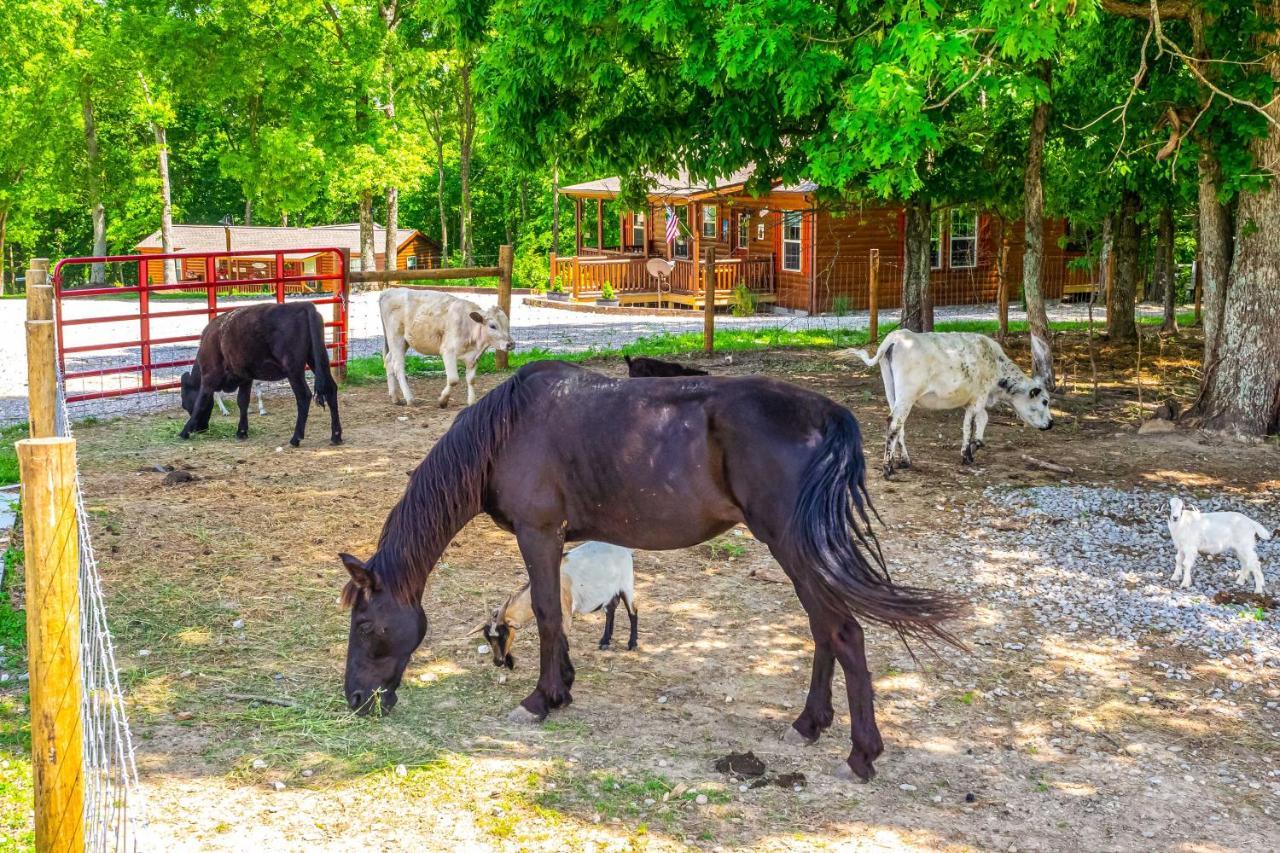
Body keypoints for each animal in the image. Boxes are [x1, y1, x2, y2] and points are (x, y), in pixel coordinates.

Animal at [180, 300, 343, 445]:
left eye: (184, 403)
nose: (202, 429)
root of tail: (304, 305)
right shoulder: (245, 377)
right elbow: (242, 401)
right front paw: (242, 431)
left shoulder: (209, 376)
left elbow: (200, 402)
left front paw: (184, 431)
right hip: (318, 359)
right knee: (331, 389)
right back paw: (336, 436)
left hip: (293, 369)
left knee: (303, 396)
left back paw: (295, 438)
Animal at [378, 286, 514, 407]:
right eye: (492, 326)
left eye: (507, 324)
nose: (511, 344)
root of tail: (388, 291)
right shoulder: (448, 351)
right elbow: (453, 379)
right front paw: (443, 400)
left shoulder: (474, 357)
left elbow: (471, 380)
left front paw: (471, 401)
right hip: (396, 338)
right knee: (398, 366)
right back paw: (409, 399)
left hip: (404, 342)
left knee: (389, 360)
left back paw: (395, 397)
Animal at [476, 540, 634, 666]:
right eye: (487, 637)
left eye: (504, 635)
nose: (498, 662)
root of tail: (625, 550)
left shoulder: (565, 612)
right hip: (609, 591)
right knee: (611, 608)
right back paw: (605, 641)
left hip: (626, 584)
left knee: (632, 611)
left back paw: (632, 644)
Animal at [839, 327, 1049, 473]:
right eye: (1045, 401)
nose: (1051, 423)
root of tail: (896, 336)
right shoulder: (978, 397)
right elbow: (968, 425)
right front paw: (967, 454)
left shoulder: (974, 399)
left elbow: (983, 419)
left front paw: (977, 444)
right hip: (907, 394)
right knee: (894, 423)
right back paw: (887, 468)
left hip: (892, 391)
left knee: (899, 426)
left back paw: (905, 461)